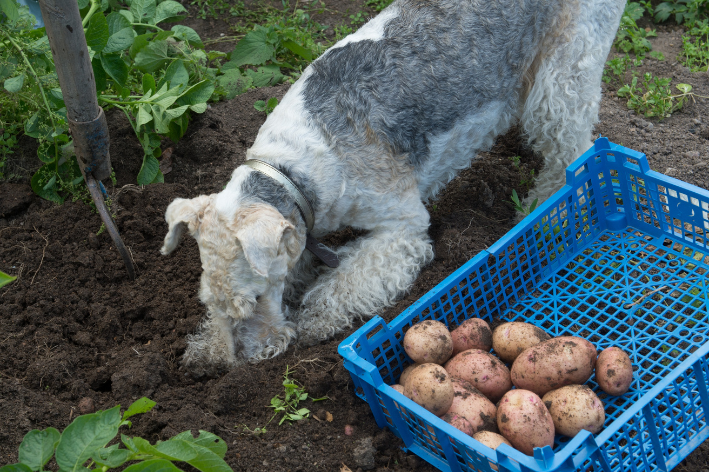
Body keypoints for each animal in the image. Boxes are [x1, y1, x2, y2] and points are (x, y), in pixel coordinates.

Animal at [162, 0, 624, 376]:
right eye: (208, 301)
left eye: (257, 299)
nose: (246, 359)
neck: (290, 170)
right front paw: (205, 348)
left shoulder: (404, 227)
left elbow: (345, 282)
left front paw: (315, 319)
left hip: (566, 76)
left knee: (572, 154)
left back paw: (549, 212)